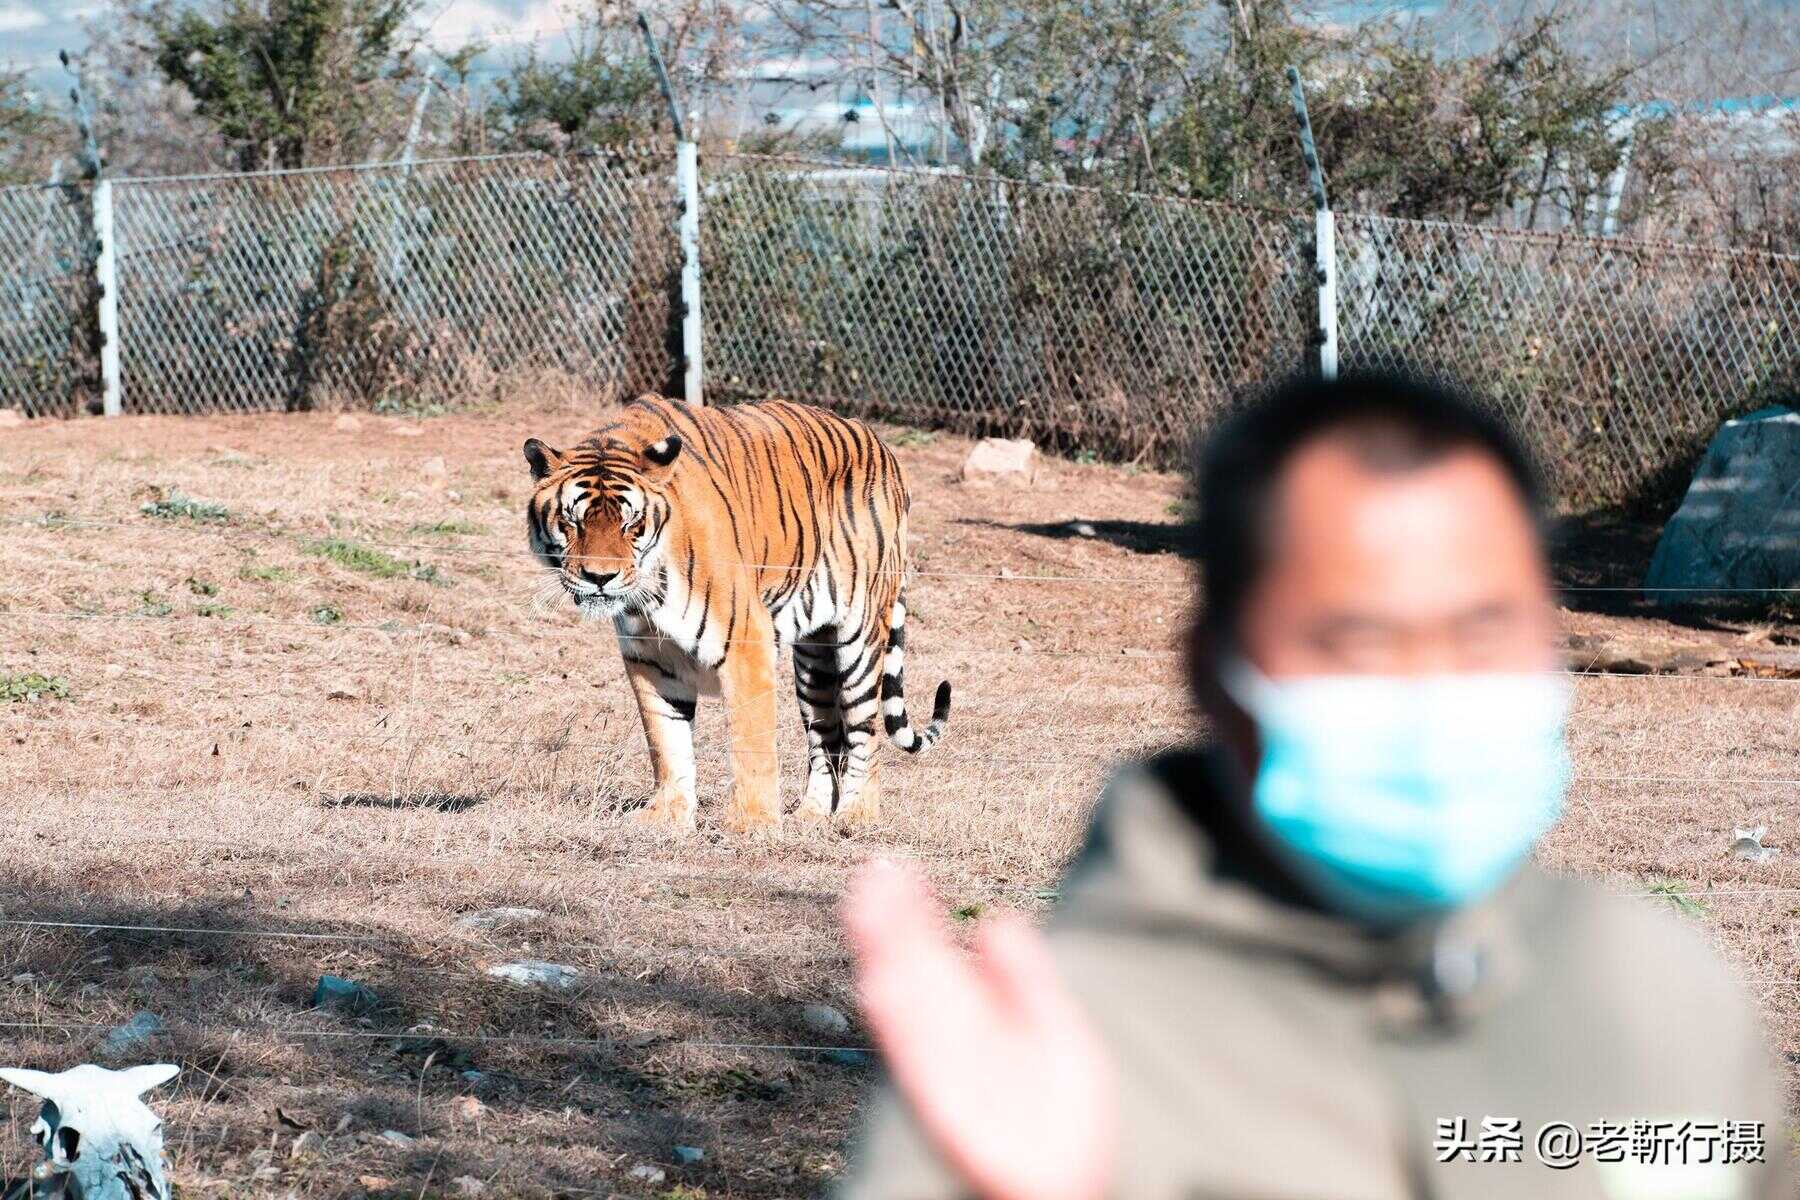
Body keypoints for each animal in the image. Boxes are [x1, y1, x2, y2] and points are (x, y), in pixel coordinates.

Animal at [522, 394, 950, 834]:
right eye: (572, 521)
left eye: (631, 523)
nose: (599, 578)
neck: (650, 592)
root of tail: (884, 448)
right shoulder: (649, 657)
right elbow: (666, 739)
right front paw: (667, 815)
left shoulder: (745, 642)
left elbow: (751, 742)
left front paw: (752, 824)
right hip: (813, 659)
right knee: (825, 739)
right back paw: (810, 815)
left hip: (860, 640)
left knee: (865, 732)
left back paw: (858, 814)